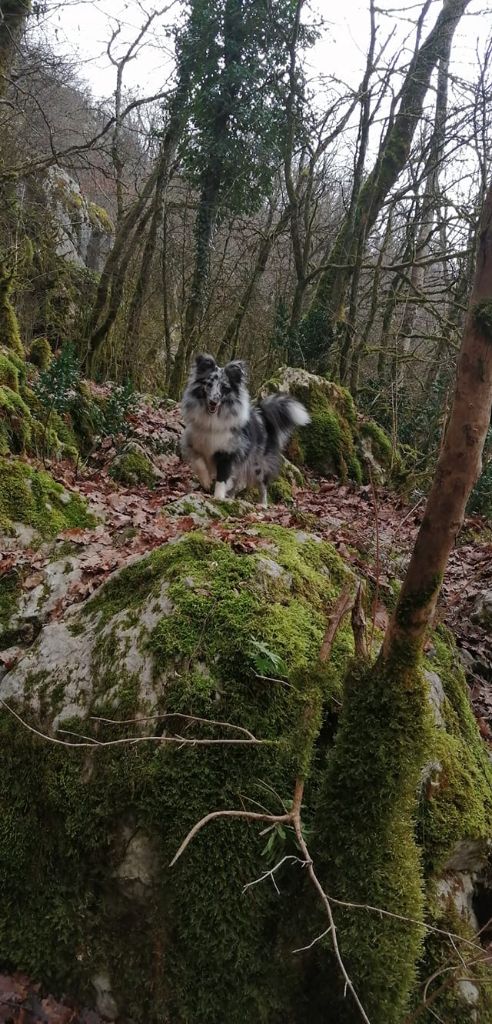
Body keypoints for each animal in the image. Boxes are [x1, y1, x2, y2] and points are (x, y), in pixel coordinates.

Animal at [180, 356, 311, 507]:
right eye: (208, 384)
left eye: (224, 387)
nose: (213, 402)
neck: (212, 420)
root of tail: (262, 415)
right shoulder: (193, 444)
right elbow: (199, 463)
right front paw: (206, 482)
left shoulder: (227, 453)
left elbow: (222, 477)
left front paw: (218, 497)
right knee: (237, 482)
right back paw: (231, 497)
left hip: (258, 464)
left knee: (262, 485)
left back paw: (263, 504)